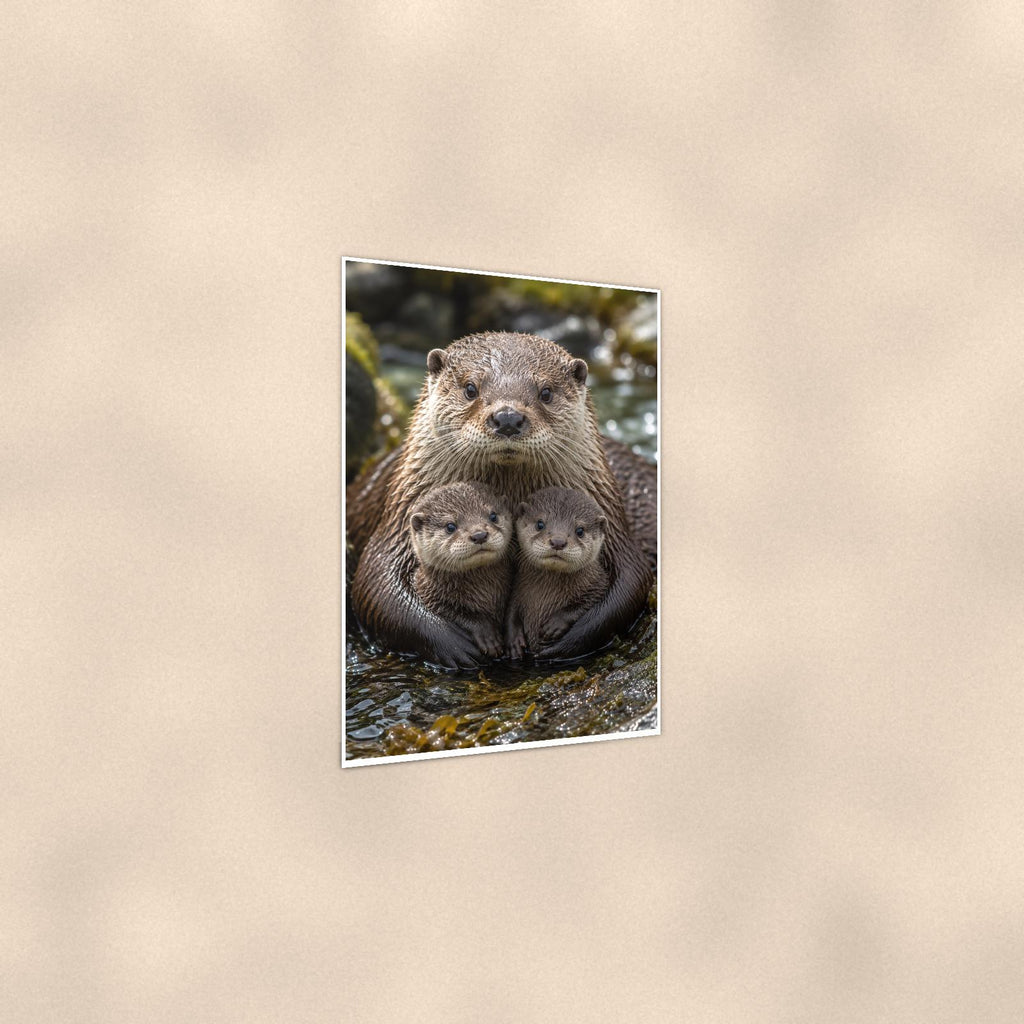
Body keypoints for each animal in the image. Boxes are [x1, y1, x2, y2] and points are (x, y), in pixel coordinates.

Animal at [409, 482, 512, 658]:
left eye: (493, 516)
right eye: (450, 526)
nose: (479, 535)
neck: (485, 592)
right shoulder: (429, 594)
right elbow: (457, 614)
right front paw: (488, 636)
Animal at [505, 488, 610, 660]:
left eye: (580, 530)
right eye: (540, 524)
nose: (558, 542)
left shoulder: (599, 583)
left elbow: (587, 602)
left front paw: (555, 624)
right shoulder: (517, 589)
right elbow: (510, 612)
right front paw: (513, 641)